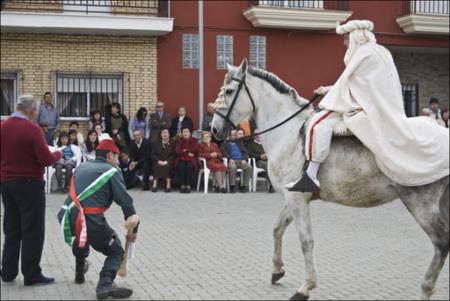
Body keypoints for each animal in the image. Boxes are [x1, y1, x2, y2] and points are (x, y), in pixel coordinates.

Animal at [212, 58, 450, 300]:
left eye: (229, 91)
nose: (214, 130)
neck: (289, 132)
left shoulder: (297, 200)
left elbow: (306, 240)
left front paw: (306, 286)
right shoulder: (293, 197)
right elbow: (277, 229)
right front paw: (277, 270)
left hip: (420, 202)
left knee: (441, 242)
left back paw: (426, 289)